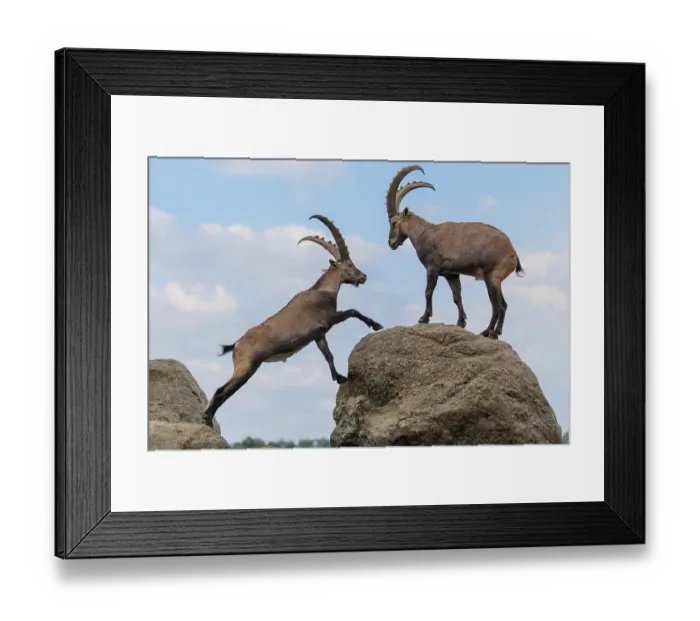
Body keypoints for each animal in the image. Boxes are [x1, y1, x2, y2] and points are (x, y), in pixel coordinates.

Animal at [201, 214, 384, 428]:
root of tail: (236, 344)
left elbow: (328, 355)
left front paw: (339, 377)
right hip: (246, 367)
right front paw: (376, 325)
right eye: (349, 266)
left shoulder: (319, 334)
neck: (323, 291)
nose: (363, 277)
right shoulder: (328, 319)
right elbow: (353, 311)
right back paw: (206, 418)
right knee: (221, 390)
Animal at [384, 165, 525, 339]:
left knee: (501, 306)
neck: (424, 233)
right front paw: (461, 322)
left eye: (393, 223)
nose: (391, 243)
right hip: (489, 279)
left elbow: (428, 291)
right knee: (495, 305)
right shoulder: (451, 274)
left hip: (494, 277)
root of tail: (513, 253)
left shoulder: (433, 268)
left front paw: (424, 318)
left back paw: (495, 333)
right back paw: (486, 331)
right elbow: (457, 297)